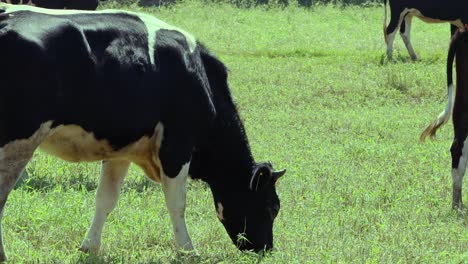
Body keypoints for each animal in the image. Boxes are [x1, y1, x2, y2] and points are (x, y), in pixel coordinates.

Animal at [0, 3, 286, 260]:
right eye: (273, 207)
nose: (266, 249)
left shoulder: (121, 148)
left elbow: (106, 198)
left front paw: (89, 247)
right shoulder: (176, 145)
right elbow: (177, 203)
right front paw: (187, 250)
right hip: (17, 141)